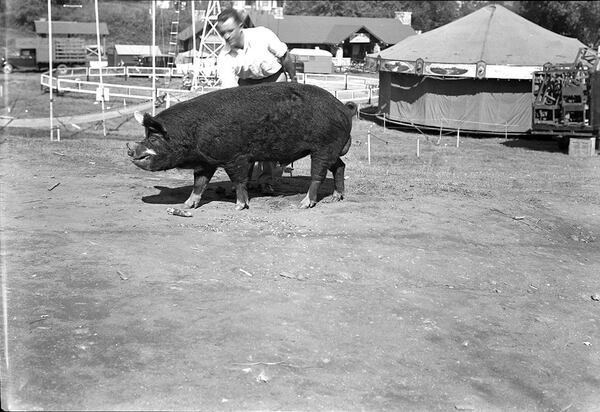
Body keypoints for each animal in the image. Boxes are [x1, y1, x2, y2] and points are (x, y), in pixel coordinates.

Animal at [126, 81, 352, 209]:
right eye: (146, 135)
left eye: (154, 139)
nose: (131, 149)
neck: (192, 134)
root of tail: (343, 108)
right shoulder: (206, 161)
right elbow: (199, 183)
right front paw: (187, 205)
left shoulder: (235, 157)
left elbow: (239, 181)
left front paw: (240, 206)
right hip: (330, 150)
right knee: (340, 166)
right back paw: (336, 197)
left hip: (323, 147)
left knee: (318, 175)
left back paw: (304, 204)